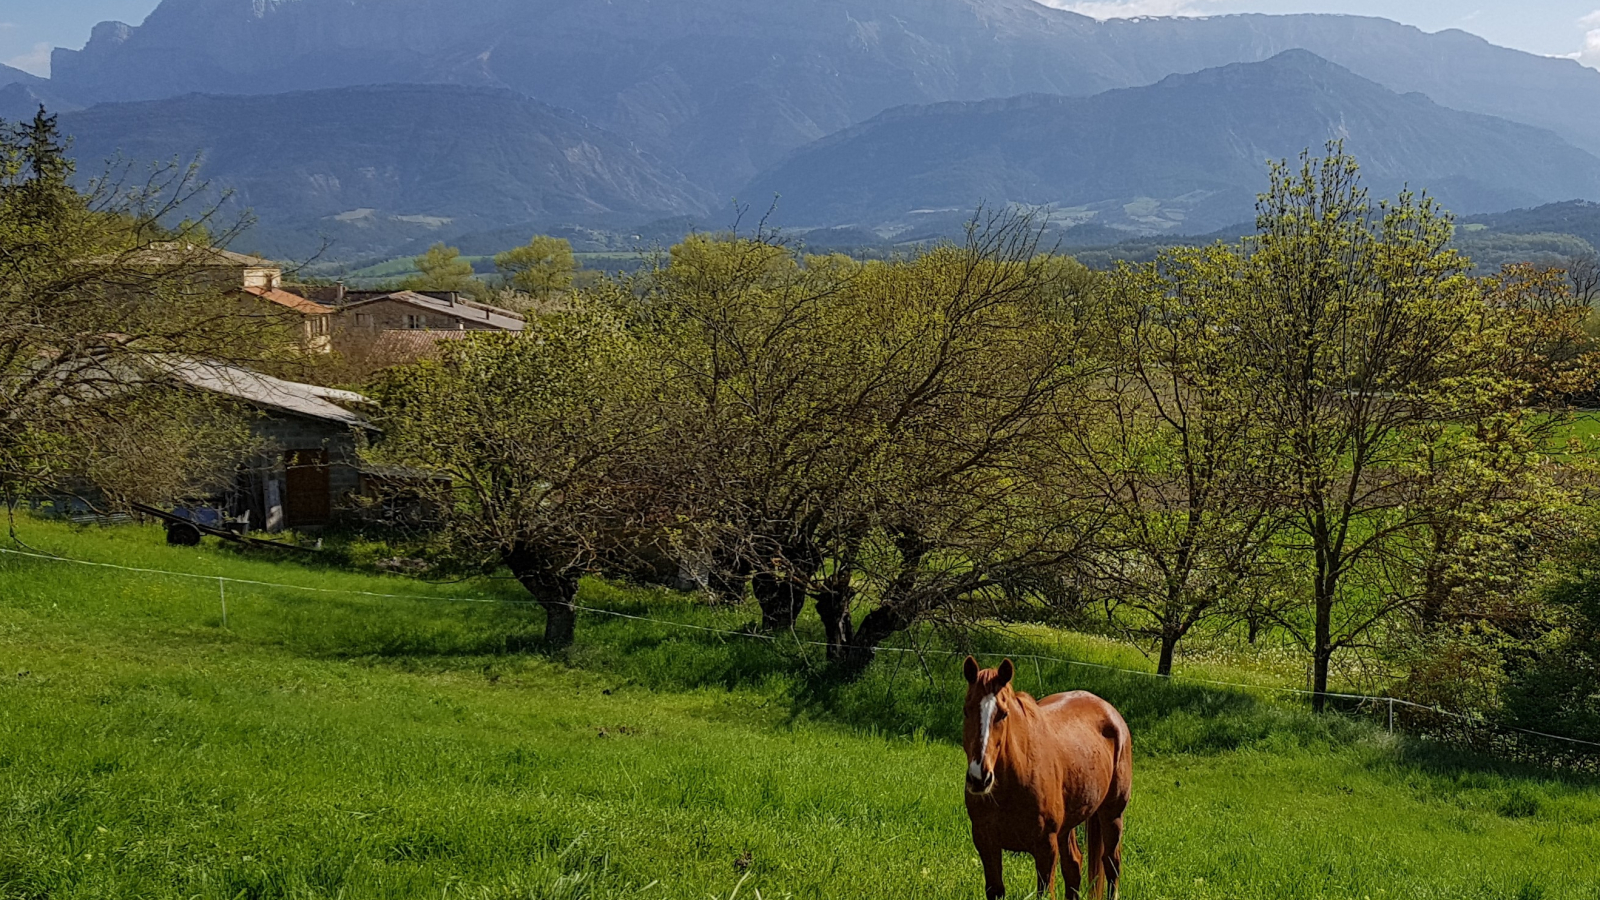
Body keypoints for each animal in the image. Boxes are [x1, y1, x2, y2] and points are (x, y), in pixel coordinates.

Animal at [953, 650, 1132, 896]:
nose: (979, 778)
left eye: (1003, 714)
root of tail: (1110, 712)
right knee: (1074, 866)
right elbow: (996, 889)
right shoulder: (986, 843)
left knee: (1112, 865)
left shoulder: (1046, 847)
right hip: (1069, 825)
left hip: (1112, 814)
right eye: (966, 710)